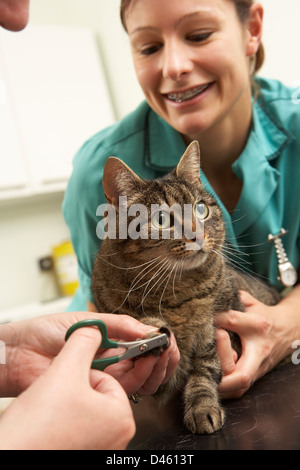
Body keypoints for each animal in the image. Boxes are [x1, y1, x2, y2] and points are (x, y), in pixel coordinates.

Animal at [91, 141, 278, 436]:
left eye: (201, 210)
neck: (175, 290)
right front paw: (151, 328)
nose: (198, 235)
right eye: (161, 219)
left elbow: (205, 367)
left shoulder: (223, 331)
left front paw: (202, 407)